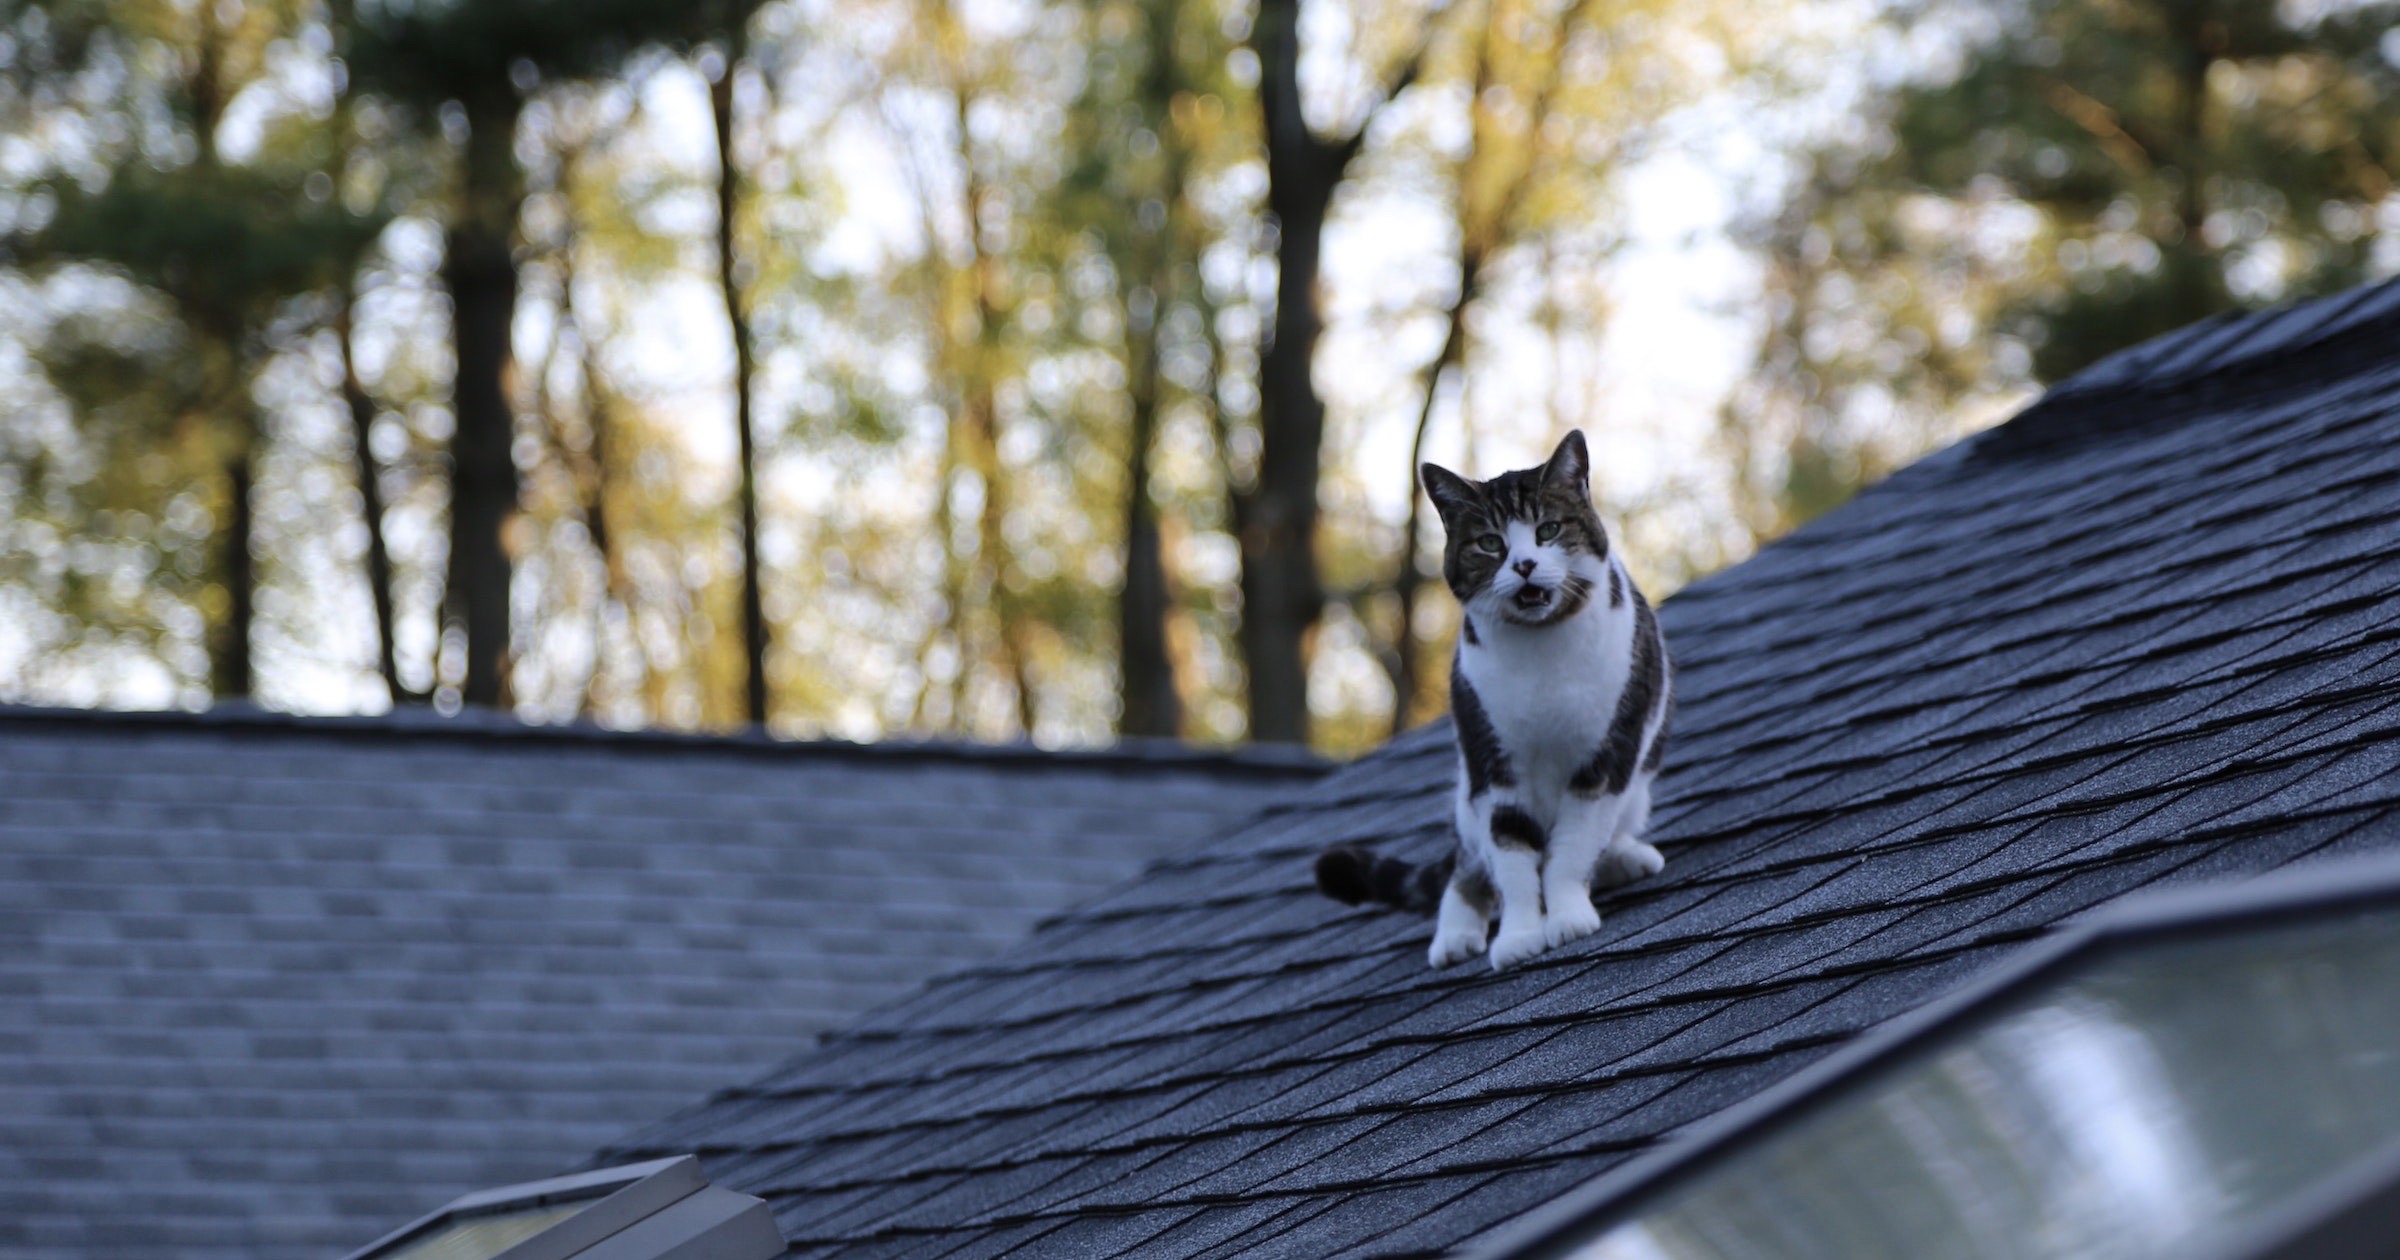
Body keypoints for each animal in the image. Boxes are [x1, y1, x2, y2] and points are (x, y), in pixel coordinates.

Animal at [1315, 427, 1670, 969]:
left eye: (1548, 530)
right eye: (1489, 543)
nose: (1523, 565)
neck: (1542, 650)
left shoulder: (1608, 754)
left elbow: (1573, 847)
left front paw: (1567, 916)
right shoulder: (1491, 763)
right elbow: (1511, 851)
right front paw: (1520, 936)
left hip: (1635, 788)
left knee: (1603, 835)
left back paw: (1628, 857)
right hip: (1467, 791)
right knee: (1468, 863)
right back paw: (1455, 933)